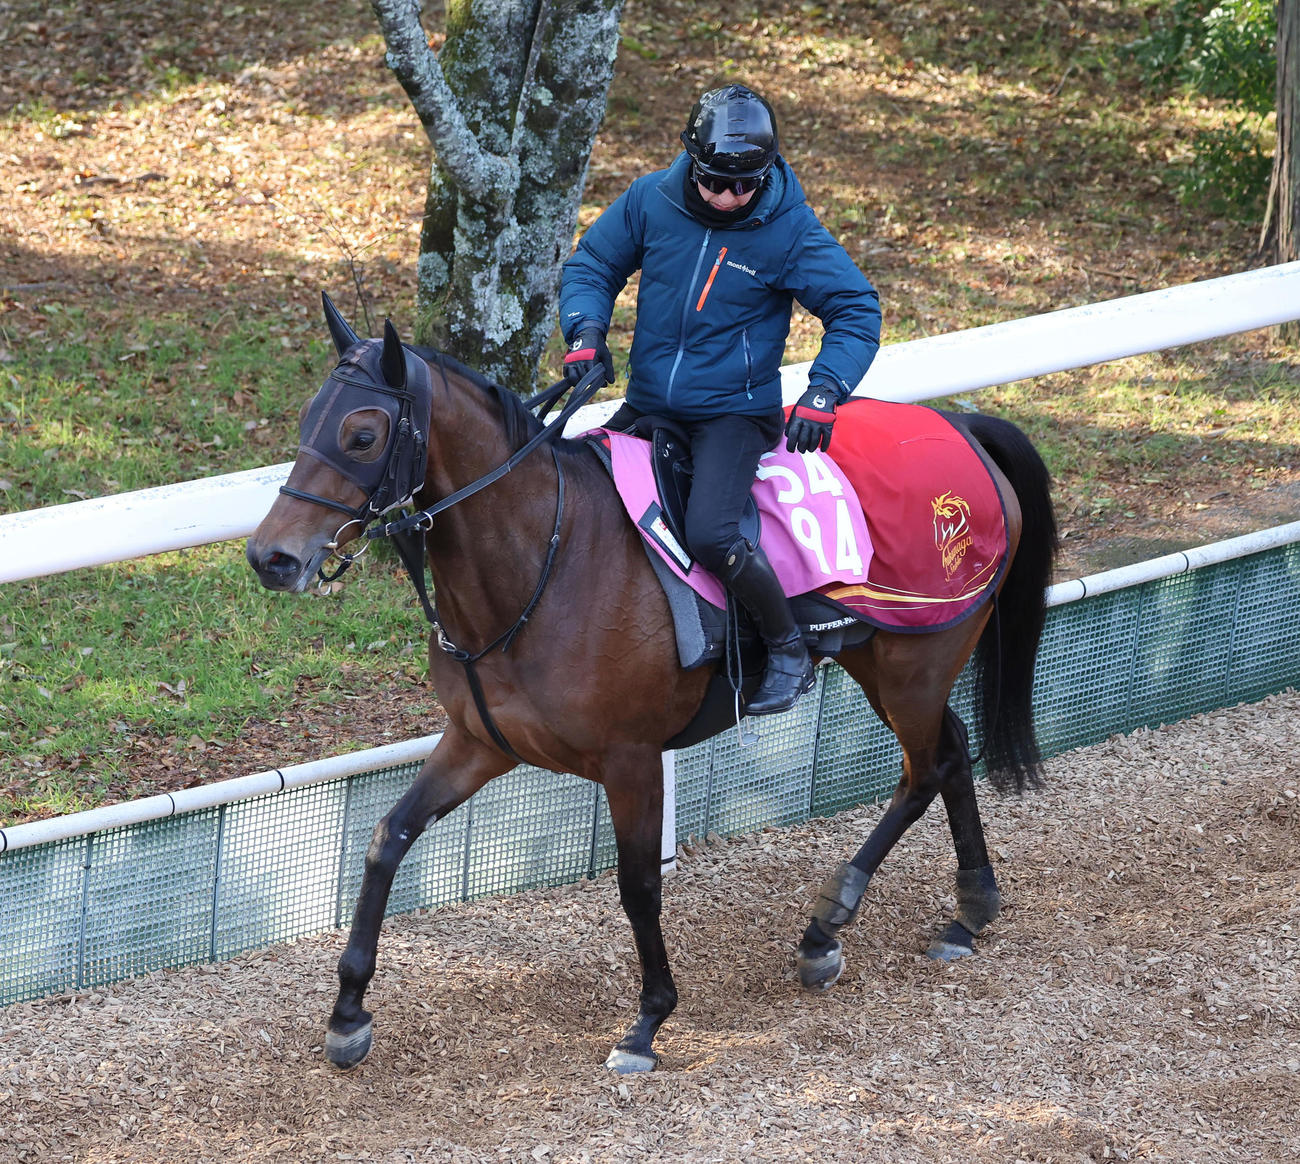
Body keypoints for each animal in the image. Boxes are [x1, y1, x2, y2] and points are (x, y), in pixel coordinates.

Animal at [246, 294, 1058, 1074]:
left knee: (928, 766)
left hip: (916, 661)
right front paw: (348, 1014)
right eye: (306, 420)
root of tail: (964, 428)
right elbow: (388, 838)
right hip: (887, 660)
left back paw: (835, 921)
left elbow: (637, 885)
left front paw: (648, 1020)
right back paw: (961, 909)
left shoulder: (631, 757)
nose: (270, 558)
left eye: (361, 434)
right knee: (949, 749)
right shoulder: (480, 740)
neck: (546, 559)